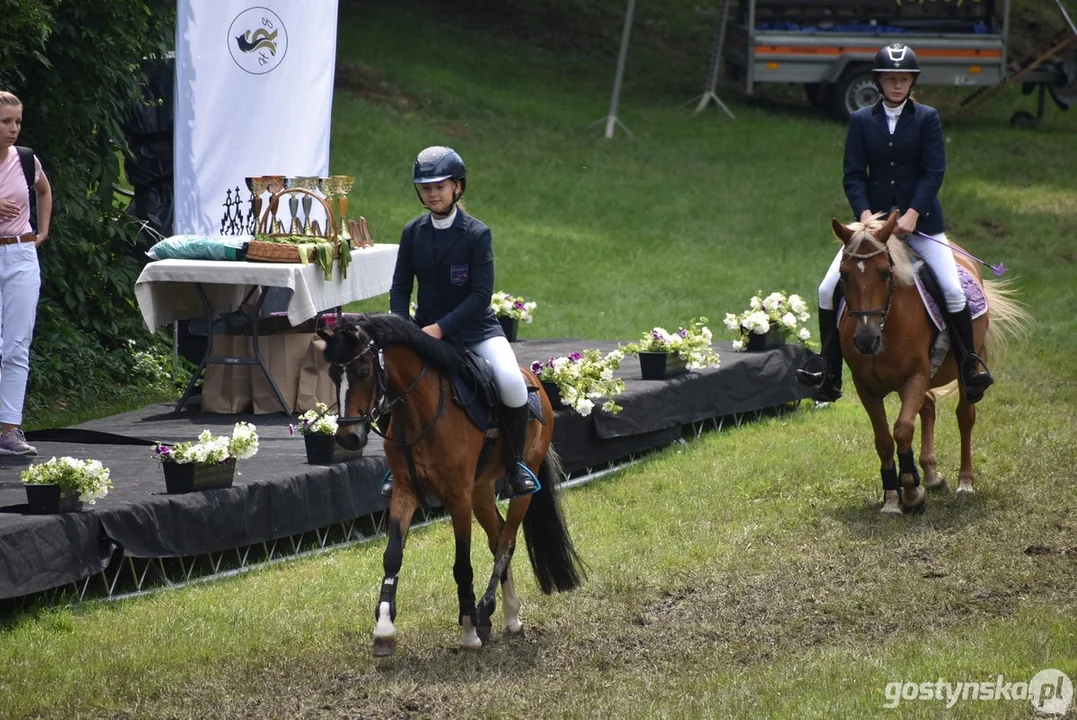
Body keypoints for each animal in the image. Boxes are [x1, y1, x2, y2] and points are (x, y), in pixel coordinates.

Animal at [318, 312, 585, 654]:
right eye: (332, 374)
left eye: (364, 371)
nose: (347, 438)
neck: (422, 410)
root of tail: (533, 377)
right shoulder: (404, 491)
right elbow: (392, 557)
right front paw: (384, 630)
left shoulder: (457, 498)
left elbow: (462, 565)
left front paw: (469, 631)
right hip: (481, 490)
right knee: (498, 537)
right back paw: (510, 616)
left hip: (521, 483)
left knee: (507, 542)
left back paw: (485, 611)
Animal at [831, 210, 1025, 514]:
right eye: (843, 274)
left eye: (885, 273)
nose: (865, 340)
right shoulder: (866, 387)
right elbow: (884, 440)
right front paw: (892, 497)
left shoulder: (915, 377)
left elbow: (902, 430)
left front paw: (911, 492)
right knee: (930, 406)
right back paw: (932, 475)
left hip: (969, 362)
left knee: (965, 416)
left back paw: (964, 482)